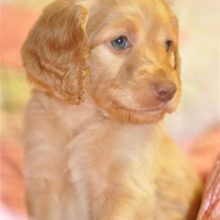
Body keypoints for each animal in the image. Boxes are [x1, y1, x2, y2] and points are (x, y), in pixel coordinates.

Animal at [21, 0, 201, 219]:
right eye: (120, 41)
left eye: (168, 44)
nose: (169, 91)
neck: (85, 119)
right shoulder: (45, 177)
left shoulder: (124, 189)